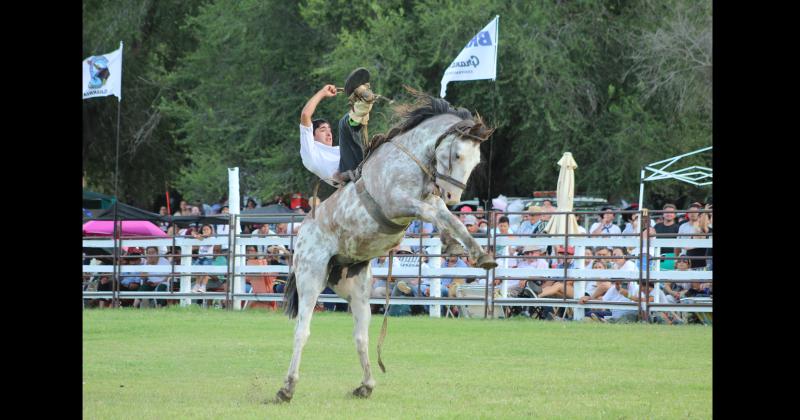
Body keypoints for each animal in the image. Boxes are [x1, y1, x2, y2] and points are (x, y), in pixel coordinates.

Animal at [274, 91, 494, 404]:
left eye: (475, 161)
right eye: (457, 155)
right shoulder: (398, 204)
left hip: (355, 288)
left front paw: (479, 254)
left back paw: (366, 384)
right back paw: (286, 388)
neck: (410, 160)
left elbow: (450, 219)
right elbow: (435, 214)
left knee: (361, 335)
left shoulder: (429, 200)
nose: (454, 196)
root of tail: (302, 233)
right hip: (311, 276)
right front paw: (454, 243)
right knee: (302, 331)